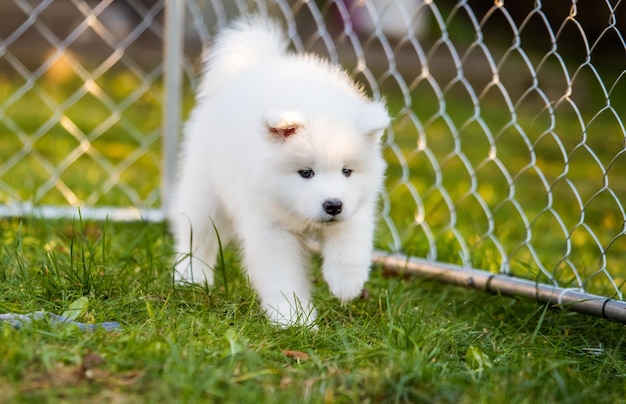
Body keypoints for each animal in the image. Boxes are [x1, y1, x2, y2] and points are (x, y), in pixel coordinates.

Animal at [168, 16, 388, 328]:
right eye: (306, 173)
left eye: (347, 171)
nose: (333, 205)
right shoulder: (270, 229)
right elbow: (282, 275)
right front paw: (294, 318)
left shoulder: (358, 206)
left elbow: (351, 240)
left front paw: (346, 282)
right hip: (204, 192)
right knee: (197, 236)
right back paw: (190, 278)